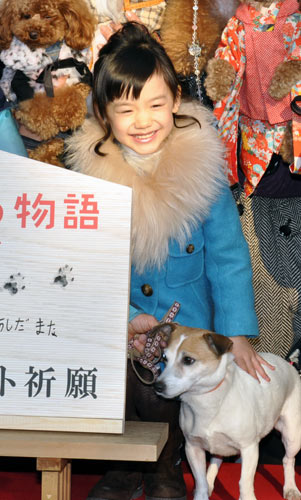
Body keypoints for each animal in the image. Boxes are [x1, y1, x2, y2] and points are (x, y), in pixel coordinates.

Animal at [154, 324, 300, 500]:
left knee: (288, 460)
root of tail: (288, 364)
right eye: (164, 358)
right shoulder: (193, 447)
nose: (157, 386)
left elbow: (244, 484)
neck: (207, 402)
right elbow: (201, 482)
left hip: (293, 436)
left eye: (188, 360)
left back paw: (291, 488)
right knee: (215, 462)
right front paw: (202, 493)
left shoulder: (249, 448)